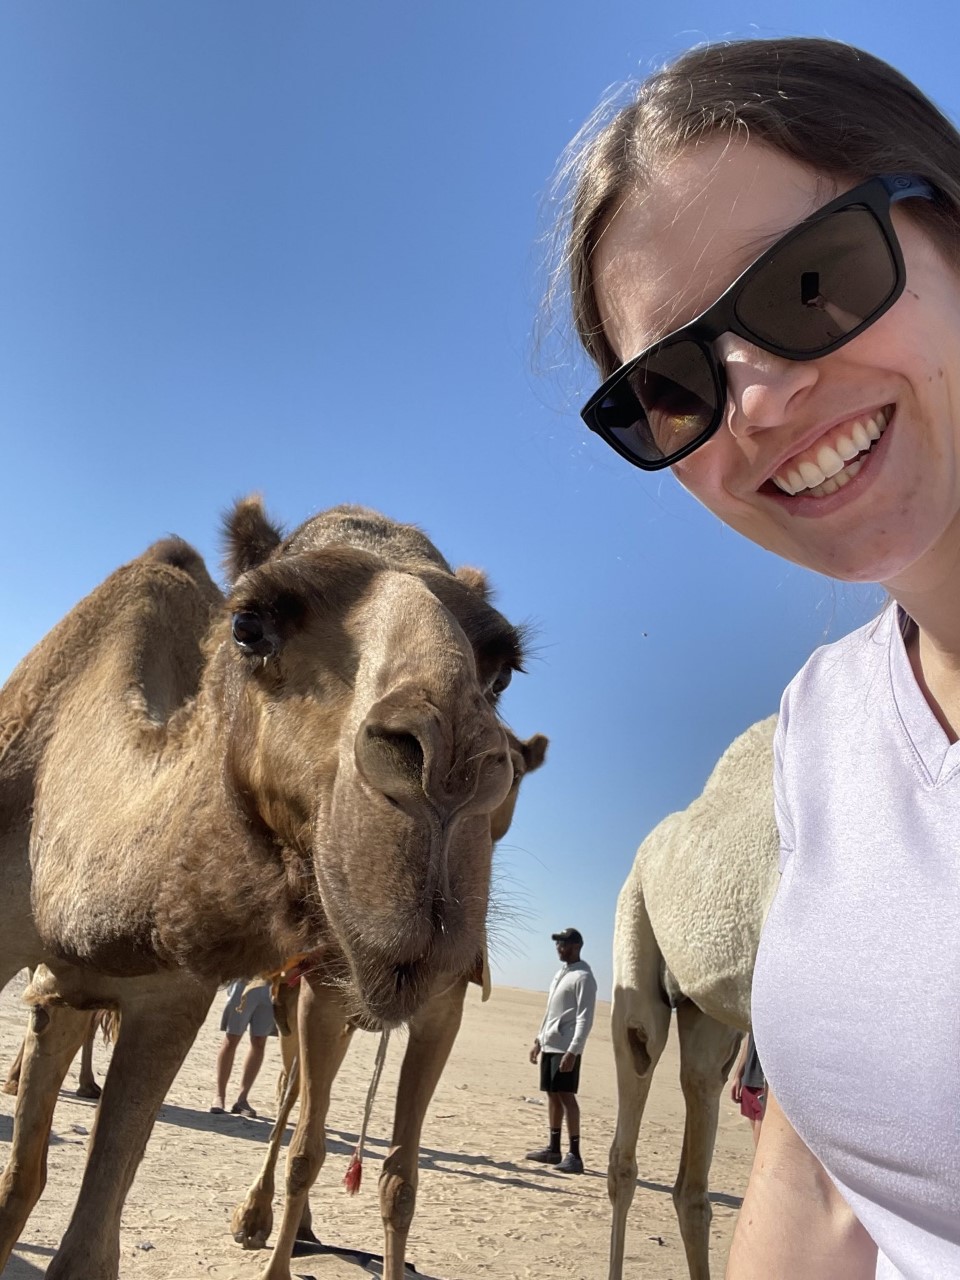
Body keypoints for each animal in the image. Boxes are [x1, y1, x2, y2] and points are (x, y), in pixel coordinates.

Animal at [229, 727, 548, 1277]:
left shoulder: (442, 1015)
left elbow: (401, 1180)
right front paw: (275, 1266)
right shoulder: (320, 1000)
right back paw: (255, 1218)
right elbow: (304, 1154)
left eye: (511, 772)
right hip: (288, 1003)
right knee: (291, 1095)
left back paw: (302, 1226)